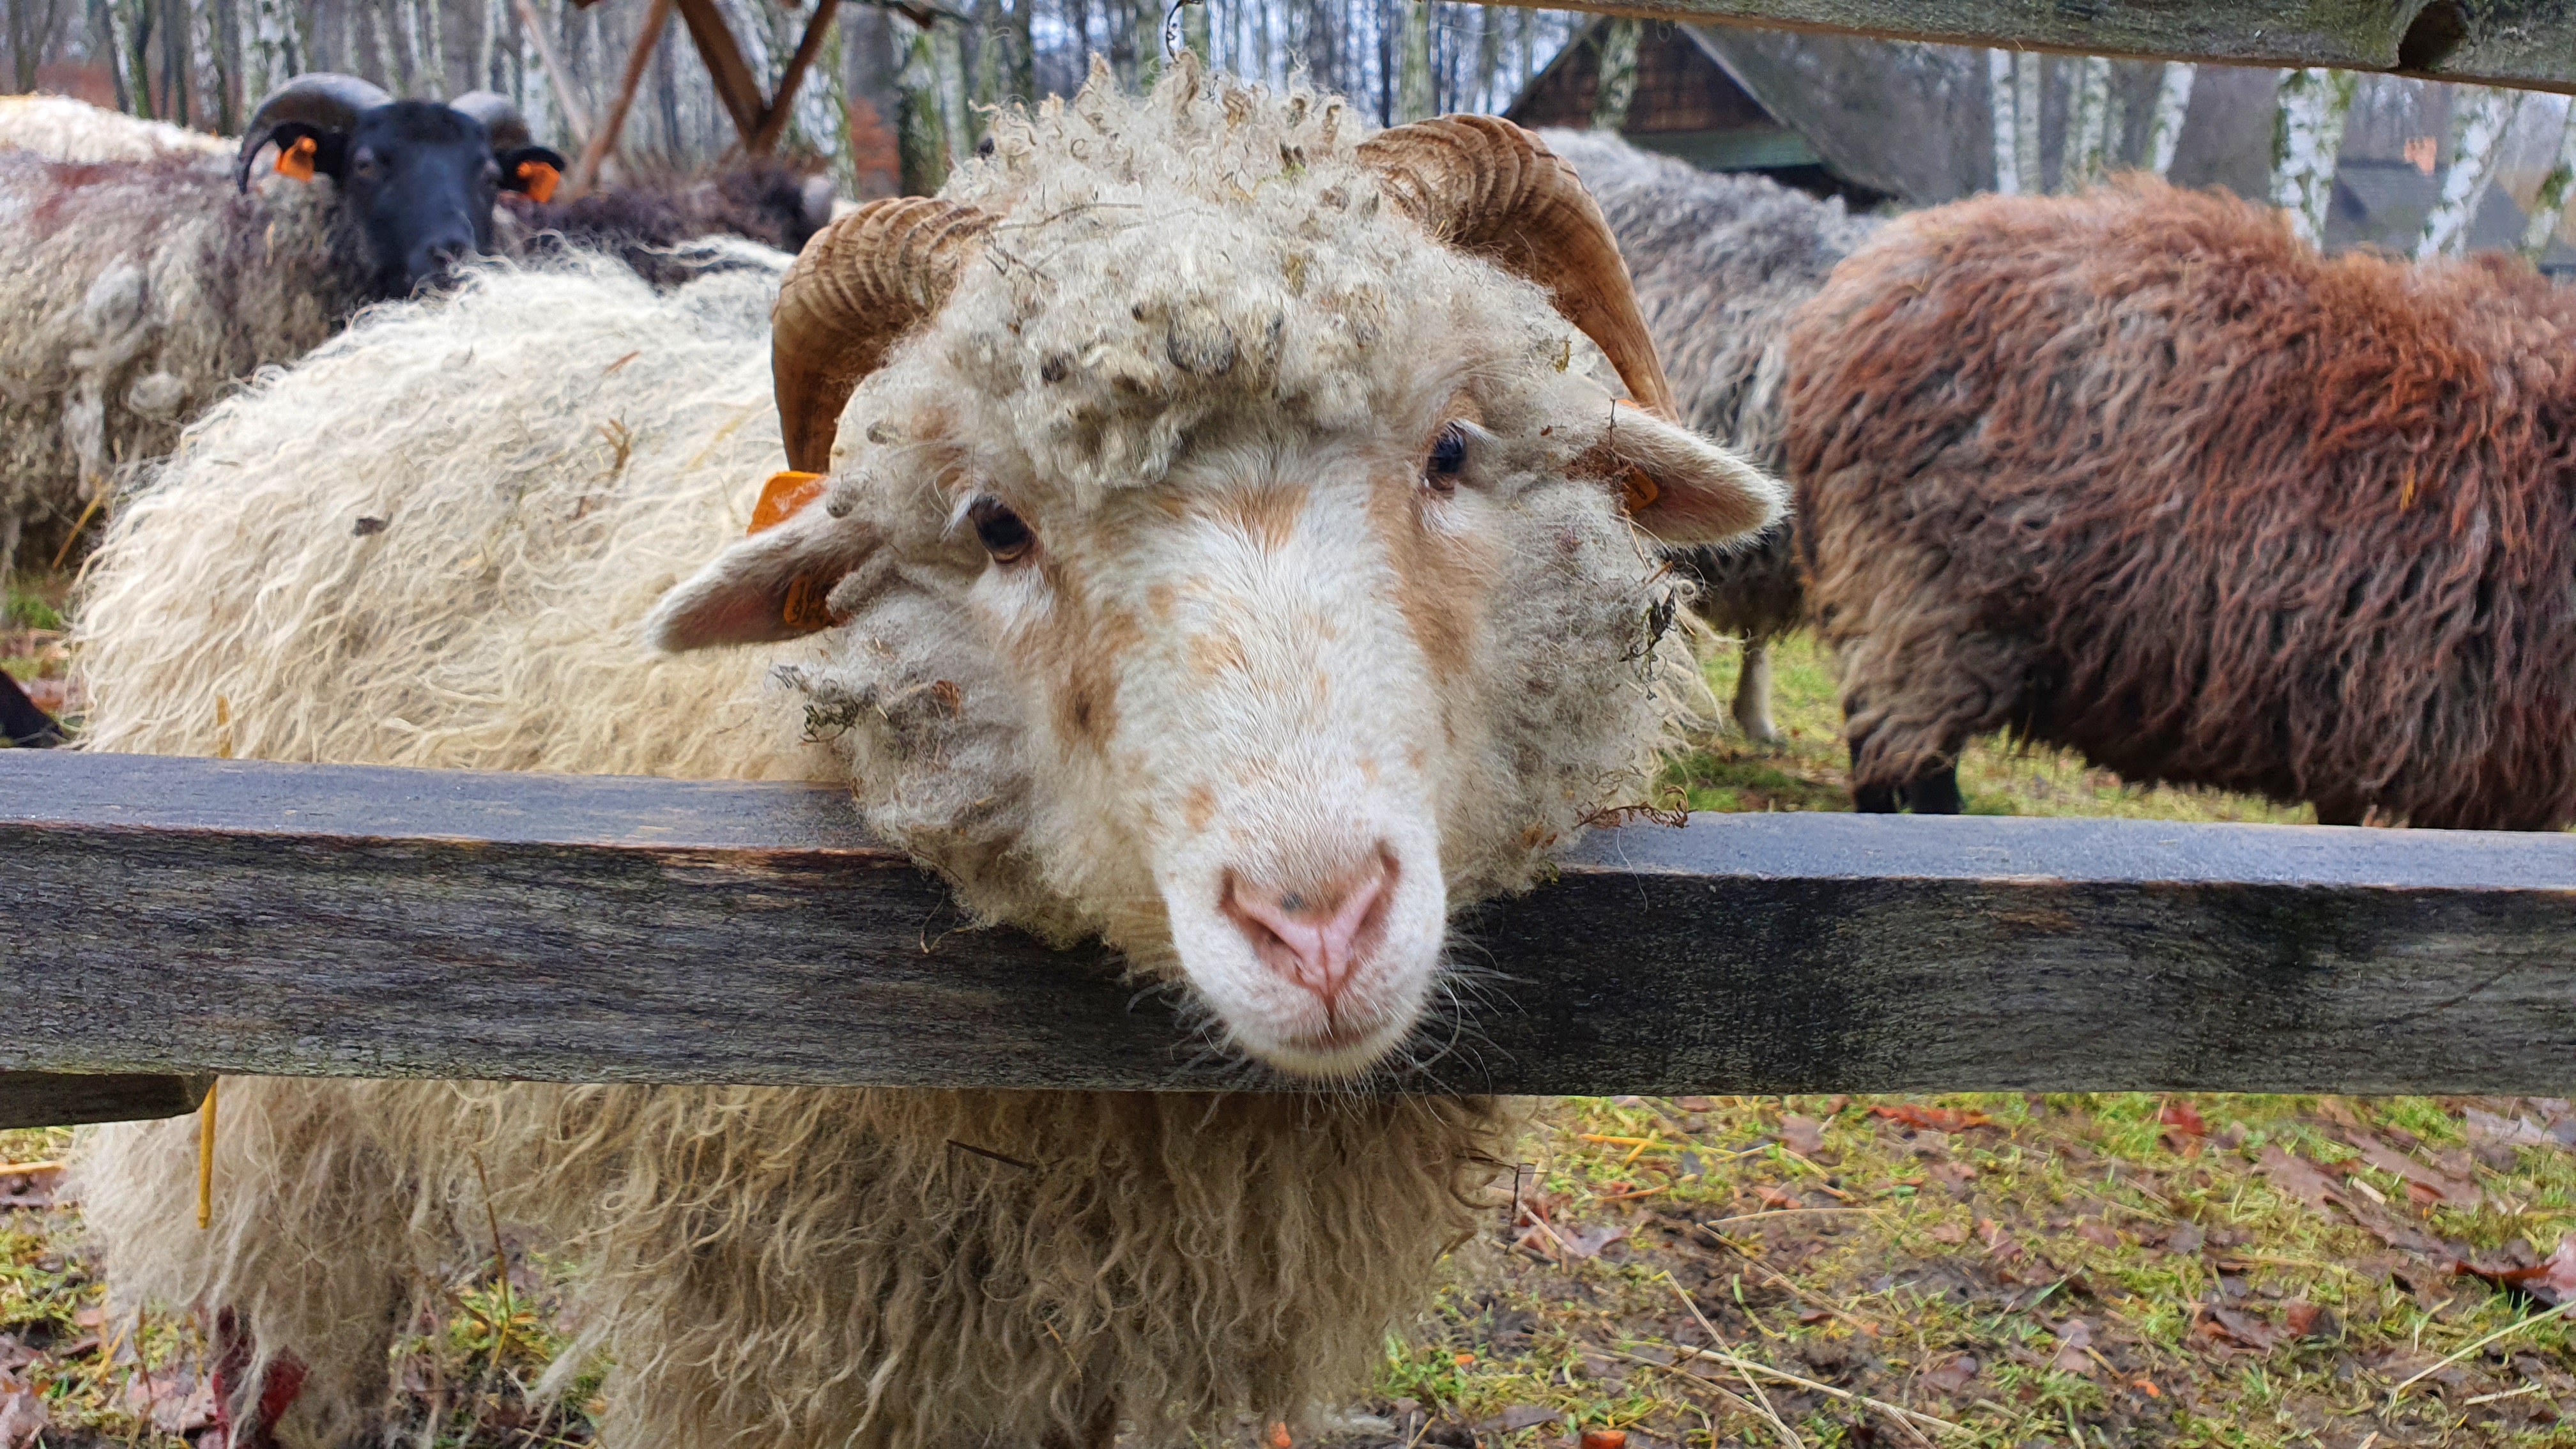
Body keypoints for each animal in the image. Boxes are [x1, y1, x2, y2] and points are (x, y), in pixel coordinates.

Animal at [72, 60, 1784, 1449]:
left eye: (1454, 450)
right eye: (996, 526)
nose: (1315, 926)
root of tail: (385, 342)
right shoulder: (775, 1329)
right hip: (276, 1109)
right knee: (287, 1342)